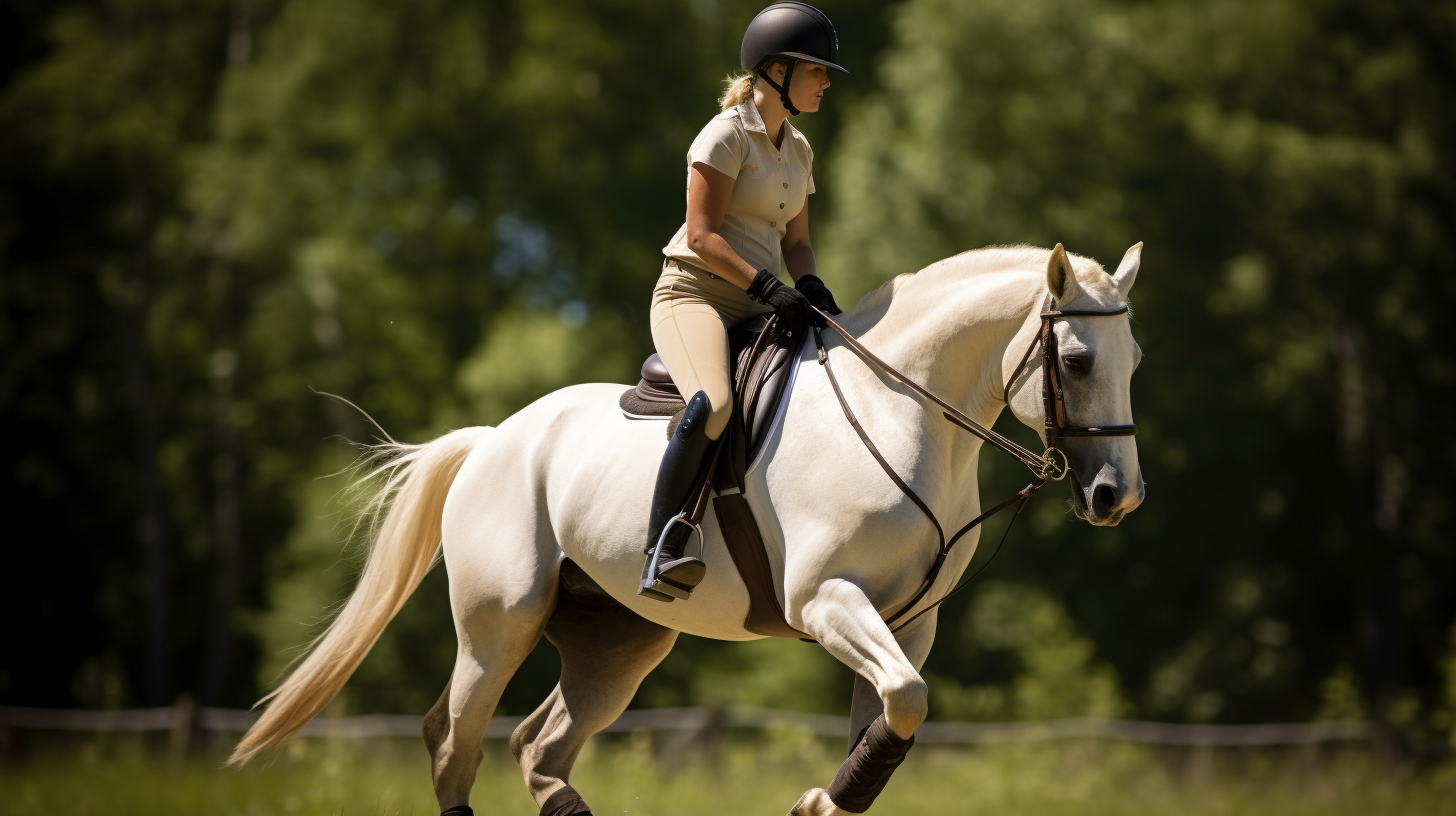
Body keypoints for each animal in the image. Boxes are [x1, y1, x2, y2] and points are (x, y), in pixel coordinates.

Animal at [227, 241, 1141, 816]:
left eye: (1134, 362)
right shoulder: (826, 602)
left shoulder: (909, 624)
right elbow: (906, 703)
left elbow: (891, 718)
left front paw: (821, 802)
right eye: (1076, 362)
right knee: (455, 743)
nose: (1116, 498)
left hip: (619, 644)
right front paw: (816, 802)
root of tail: (493, 439)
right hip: (499, 624)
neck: (900, 409)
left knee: (538, 746)